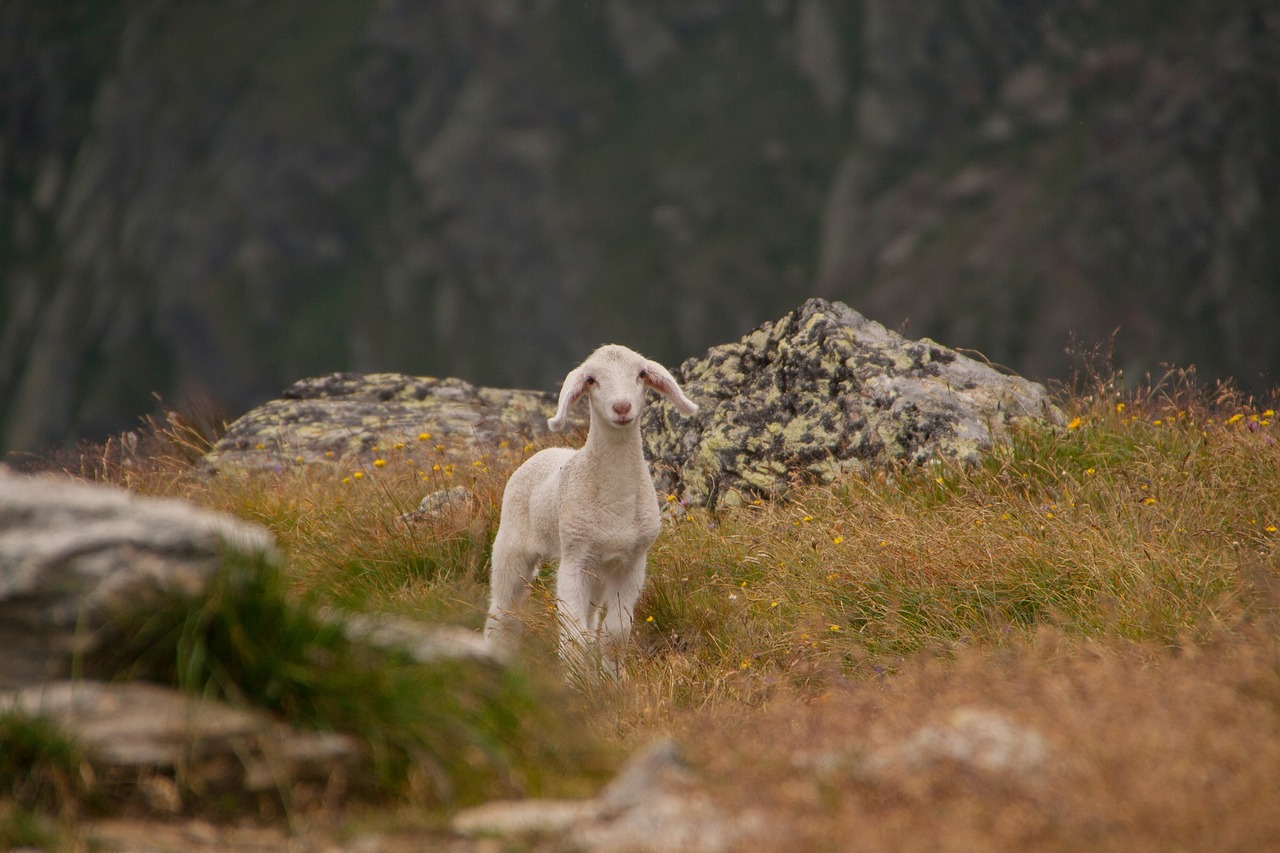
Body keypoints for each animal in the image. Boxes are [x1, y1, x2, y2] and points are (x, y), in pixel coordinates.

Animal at [481, 343, 701, 671]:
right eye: (591, 380)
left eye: (641, 373)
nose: (621, 407)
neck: (617, 502)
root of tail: (545, 451)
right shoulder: (574, 561)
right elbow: (574, 639)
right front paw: (576, 679)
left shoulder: (632, 562)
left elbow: (615, 634)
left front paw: (611, 678)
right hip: (512, 545)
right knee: (503, 610)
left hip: (597, 571)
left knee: (590, 618)